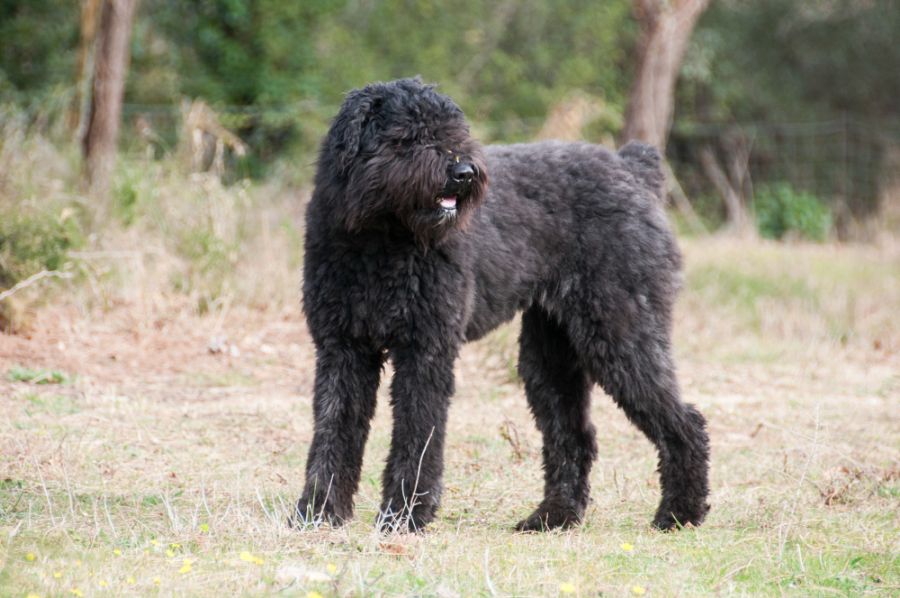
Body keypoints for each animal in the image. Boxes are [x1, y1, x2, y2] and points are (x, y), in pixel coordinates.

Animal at [296, 77, 712, 532]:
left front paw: (405, 515)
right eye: (407, 136)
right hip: (551, 354)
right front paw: (318, 512)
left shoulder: (426, 350)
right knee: (573, 435)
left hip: (621, 333)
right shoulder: (343, 349)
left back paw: (679, 513)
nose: (463, 172)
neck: (381, 241)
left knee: (685, 421)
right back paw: (553, 517)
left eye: (455, 131)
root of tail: (633, 169)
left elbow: (417, 435)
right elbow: (334, 430)